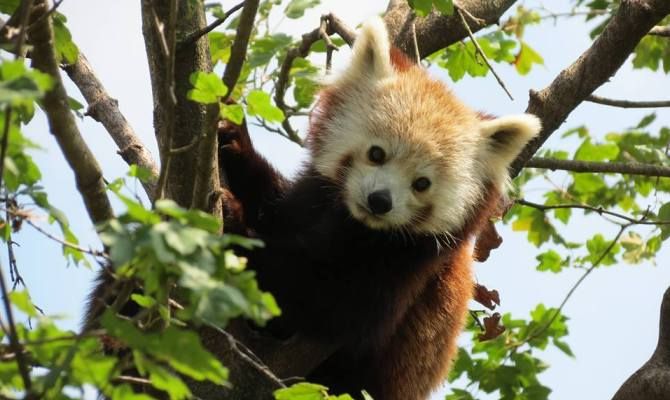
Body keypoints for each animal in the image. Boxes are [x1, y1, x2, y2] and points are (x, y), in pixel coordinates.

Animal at [218, 17, 544, 400]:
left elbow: (319, 302)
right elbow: (274, 207)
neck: (354, 224)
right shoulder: (310, 198)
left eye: (422, 183)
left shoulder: (408, 266)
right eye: (377, 153)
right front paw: (233, 138)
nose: (380, 201)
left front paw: (236, 224)